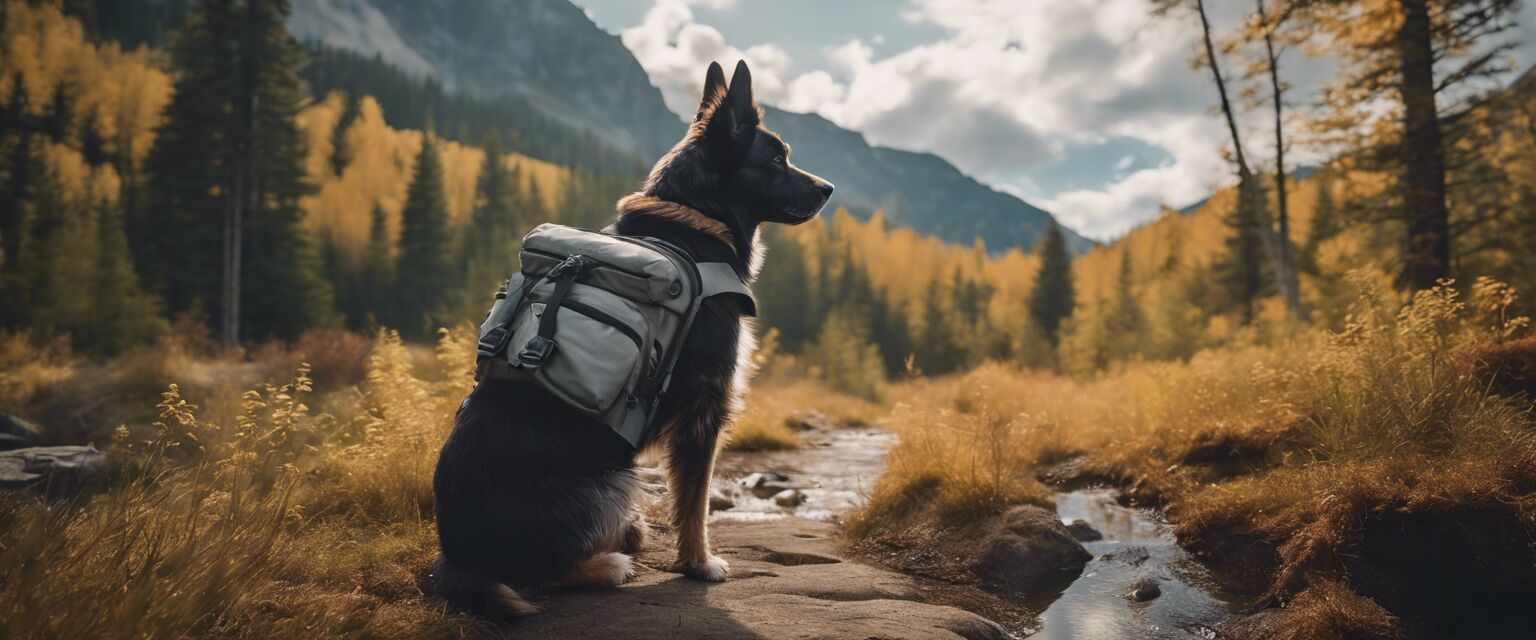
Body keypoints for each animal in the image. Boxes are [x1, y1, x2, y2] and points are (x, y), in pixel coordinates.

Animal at [433, 58, 835, 613]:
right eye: (776, 160)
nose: (828, 189)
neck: (696, 221)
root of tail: (458, 558)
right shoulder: (706, 407)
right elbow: (695, 503)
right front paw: (700, 564)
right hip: (613, 479)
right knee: (541, 577)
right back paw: (612, 560)